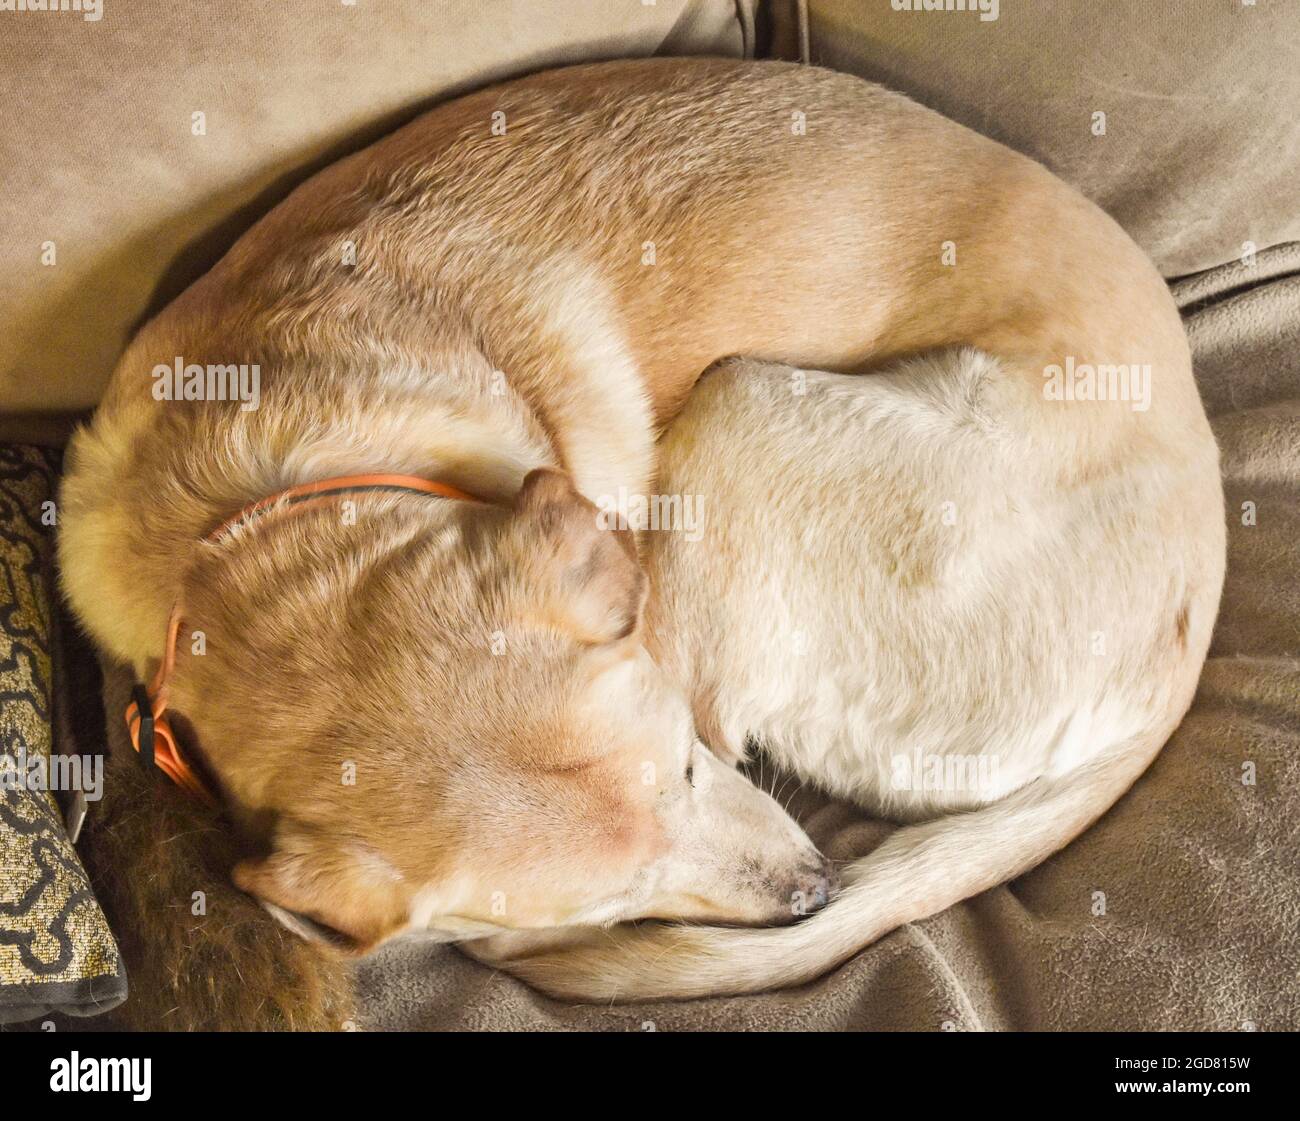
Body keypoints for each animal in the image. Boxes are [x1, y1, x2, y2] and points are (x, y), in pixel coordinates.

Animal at [55, 52, 1222, 998]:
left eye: (691, 772)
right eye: (615, 900)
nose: (813, 889)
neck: (243, 511)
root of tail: (1178, 658)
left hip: (743, 406)